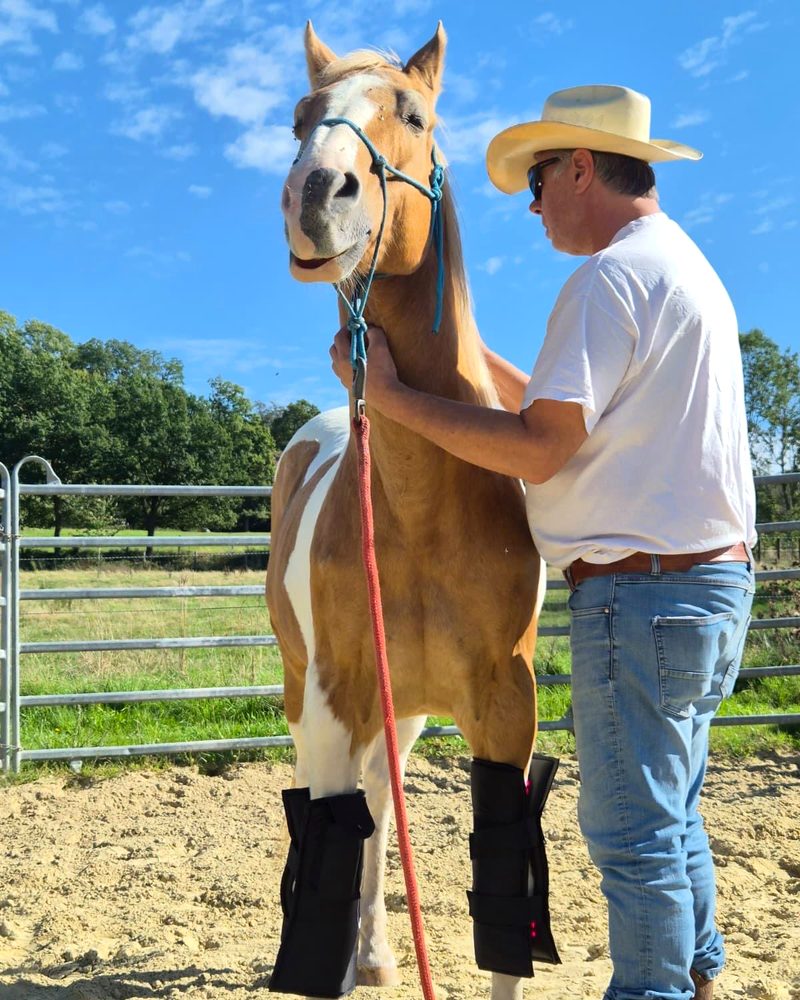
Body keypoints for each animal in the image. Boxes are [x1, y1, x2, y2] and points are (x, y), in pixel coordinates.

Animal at [266, 22, 560, 1000]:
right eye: (300, 117)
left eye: (415, 116)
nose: (315, 193)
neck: (421, 510)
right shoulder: (333, 699)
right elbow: (328, 843)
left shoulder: (505, 708)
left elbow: (502, 894)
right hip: (315, 696)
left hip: (403, 711)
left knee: (379, 803)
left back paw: (379, 949)